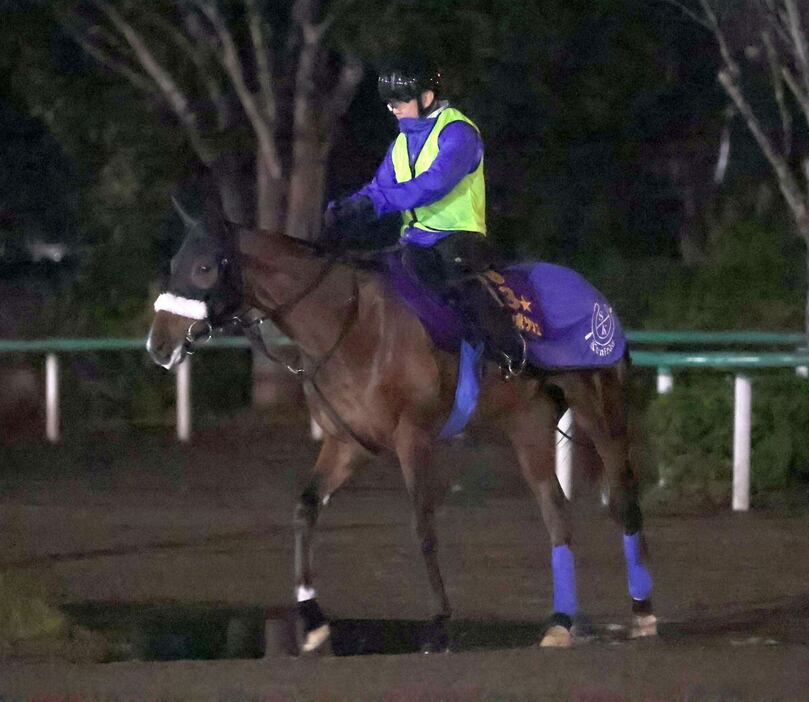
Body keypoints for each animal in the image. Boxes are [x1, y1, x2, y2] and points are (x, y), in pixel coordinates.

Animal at [147, 198, 656, 656]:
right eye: (174, 262)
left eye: (205, 267)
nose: (158, 345)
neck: (350, 322)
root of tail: (597, 300)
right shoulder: (346, 442)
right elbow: (305, 509)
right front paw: (312, 621)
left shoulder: (414, 438)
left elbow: (422, 527)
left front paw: (439, 624)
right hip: (528, 423)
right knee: (556, 514)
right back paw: (561, 623)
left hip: (600, 407)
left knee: (624, 498)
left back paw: (642, 613)